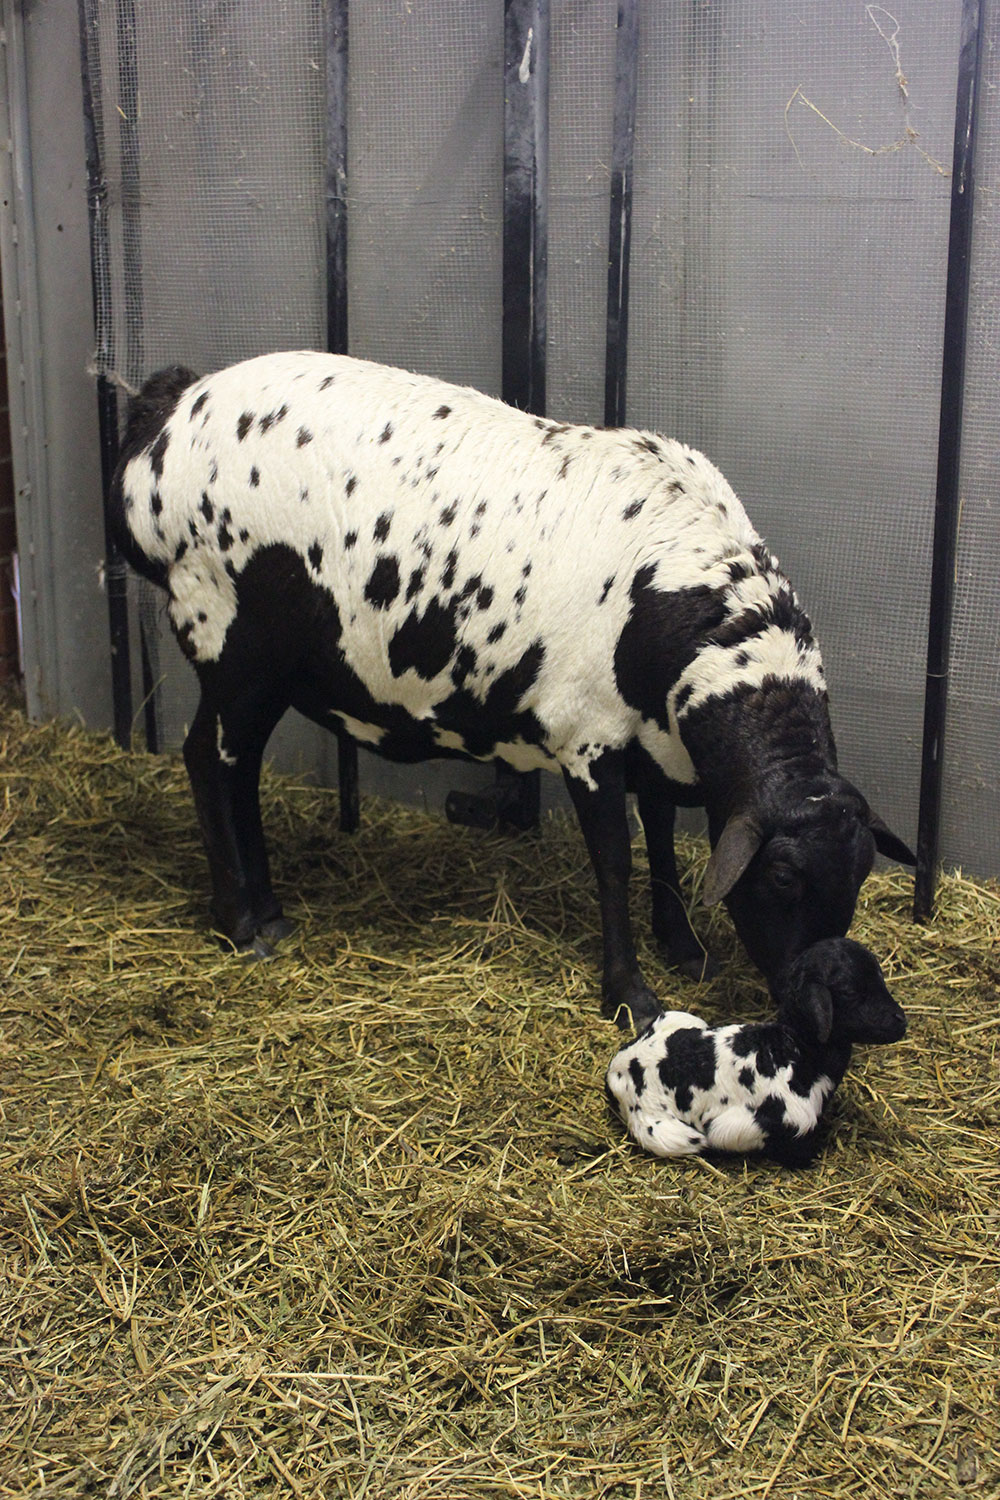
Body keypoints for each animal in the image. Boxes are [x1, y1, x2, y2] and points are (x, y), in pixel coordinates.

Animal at [109, 351, 917, 1026]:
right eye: (781, 877)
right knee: (205, 761)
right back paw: (239, 923)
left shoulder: (655, 741)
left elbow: (661, 842)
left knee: (239, 769)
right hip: (226, 636)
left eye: (859, 877)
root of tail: (168, 413)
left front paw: (684, 948)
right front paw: (629, 995)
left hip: (270, 668)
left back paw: (271, 910)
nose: (810, 997)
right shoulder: (588, 737)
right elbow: (616, 861)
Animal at [602, 936, 905, 1170]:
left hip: (682, 1019)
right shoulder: (743, 1126)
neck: (792, 1055)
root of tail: (615, 1069)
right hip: (666, 1133)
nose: (901, 1021)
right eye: (850, 992)